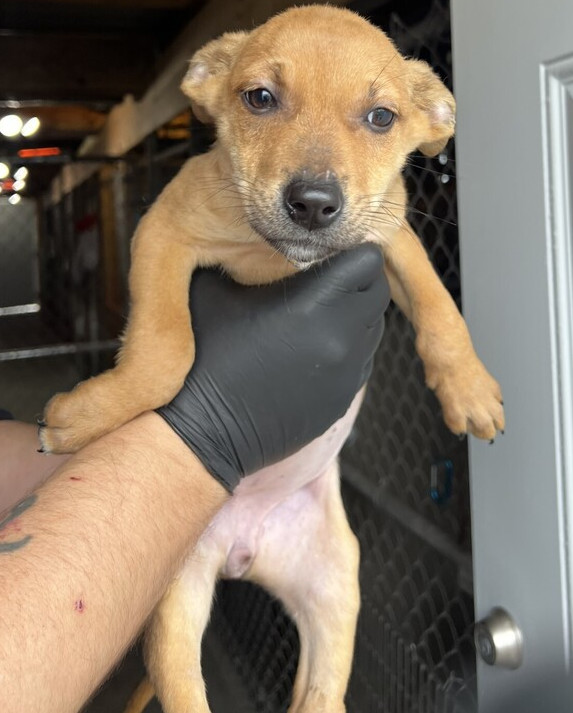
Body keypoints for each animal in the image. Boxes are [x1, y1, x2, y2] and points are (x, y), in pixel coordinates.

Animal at [42, 5, 502, 712]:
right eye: (259, 99)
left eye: (382, 117)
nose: (313, 203)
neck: (276, 259)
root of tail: (244, 549)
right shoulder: (163, 233)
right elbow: (165, 351)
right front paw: (87, 415)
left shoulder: (389, 237)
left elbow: (438, 305)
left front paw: (469, 388)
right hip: (174, 604)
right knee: (184, 692)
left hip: (334, 592)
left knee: (319, 697)